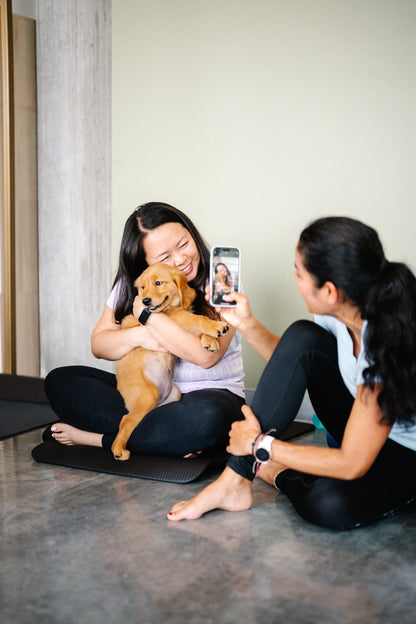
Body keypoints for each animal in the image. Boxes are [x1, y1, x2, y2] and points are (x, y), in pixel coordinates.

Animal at [113, 260, 231, 460]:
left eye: (158, 283)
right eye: (142, 287)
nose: (144, 301)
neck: (172, 307)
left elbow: (196, 327)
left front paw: (210, 340)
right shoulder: (174, 318)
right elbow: (196, 319)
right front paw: (215, 326)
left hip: (172, 395)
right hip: (146, 394)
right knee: (125, 419)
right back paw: (118, 450)